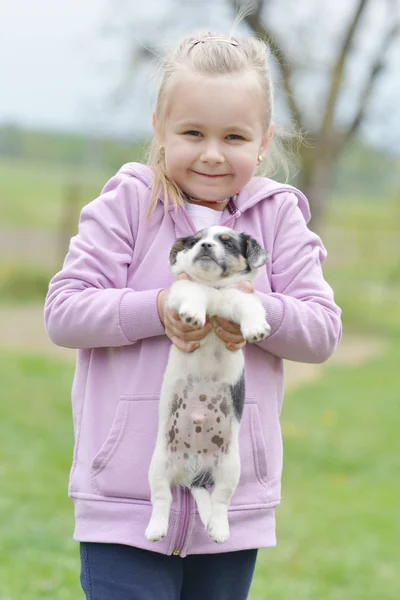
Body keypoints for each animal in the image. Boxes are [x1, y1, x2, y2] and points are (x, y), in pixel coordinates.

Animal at [145, 224, 270, 544]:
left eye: (227, 243)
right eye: (195, 241)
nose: (205, 246)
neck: (215, 290)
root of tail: (193, 471)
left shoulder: (240, 298)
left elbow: (248, 306)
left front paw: (256, 328)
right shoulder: (182, 291)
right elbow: (193, 293)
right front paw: (193, 314)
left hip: (230, 468)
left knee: (220, 501)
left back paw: (219, 528)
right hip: (159, 465)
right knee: (162, 498)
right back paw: (156, 528)